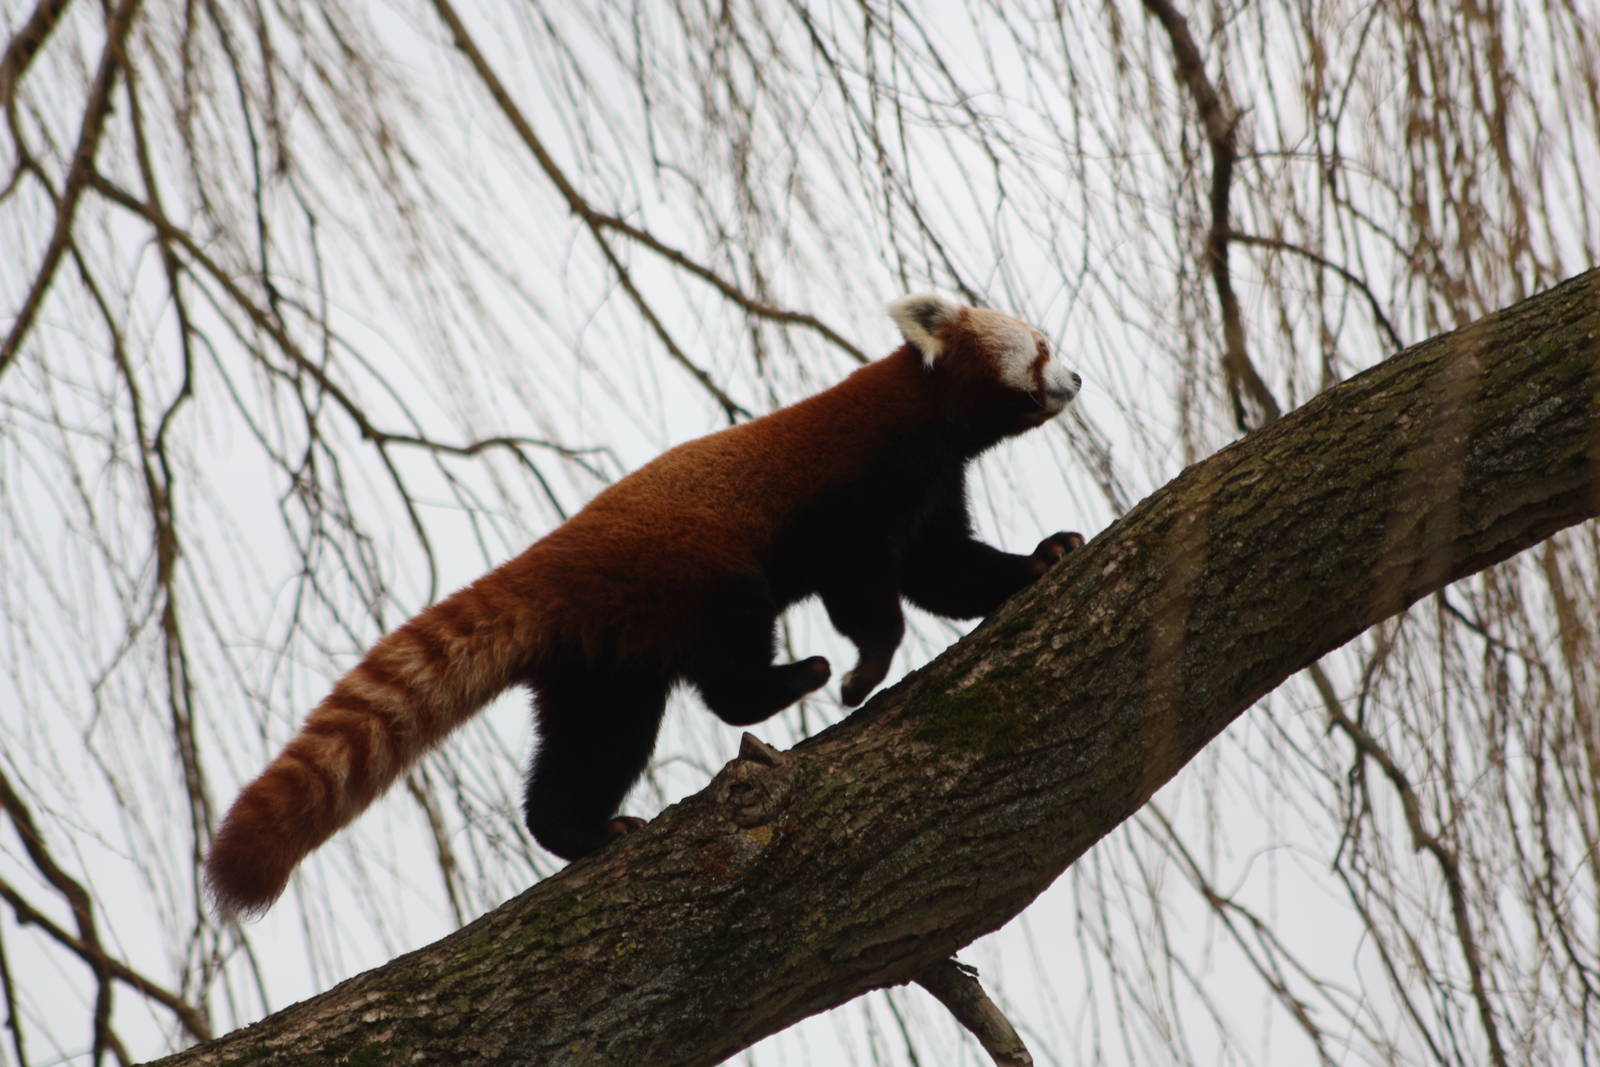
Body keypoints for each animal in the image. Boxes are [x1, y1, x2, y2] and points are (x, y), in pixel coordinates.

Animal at [205, 293, 1083, 916]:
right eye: (1042, 345)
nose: (1076, 379)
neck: (925, 419)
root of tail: (551, 560)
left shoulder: (932, 493)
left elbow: (945, 570)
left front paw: (1041, 558)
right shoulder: (855, 489)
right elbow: (868, 593)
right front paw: (865, 668)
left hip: (601, 661)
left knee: (596, 744)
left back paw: (578, 829)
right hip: (686, 573)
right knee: (725, 661)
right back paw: (789, 678)